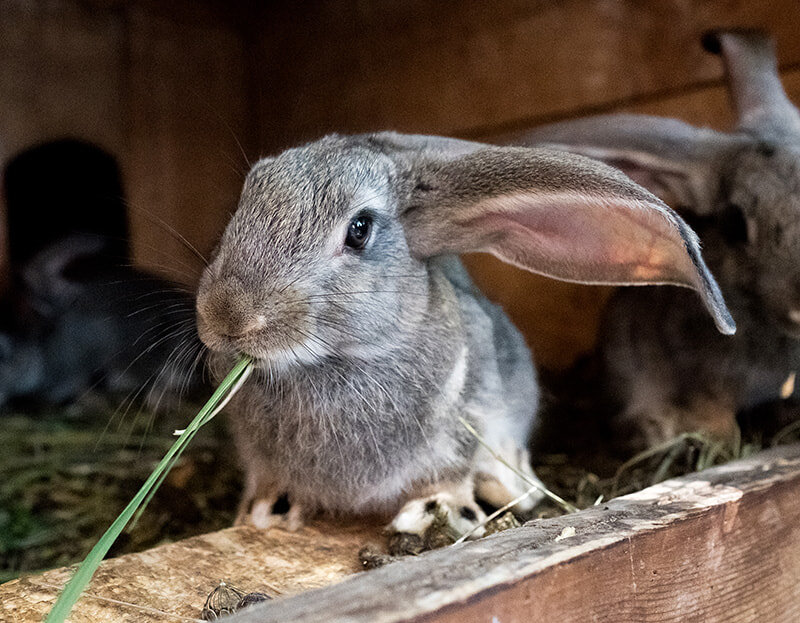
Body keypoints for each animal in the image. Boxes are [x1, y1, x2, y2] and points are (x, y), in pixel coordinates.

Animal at [195, 130, 733, 551]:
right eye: (243, 205)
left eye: (359, 230)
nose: (227, 317)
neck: (336, 361)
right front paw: (263, 512)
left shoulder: (462, 433)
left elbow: (448, 479)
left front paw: (430, 513)